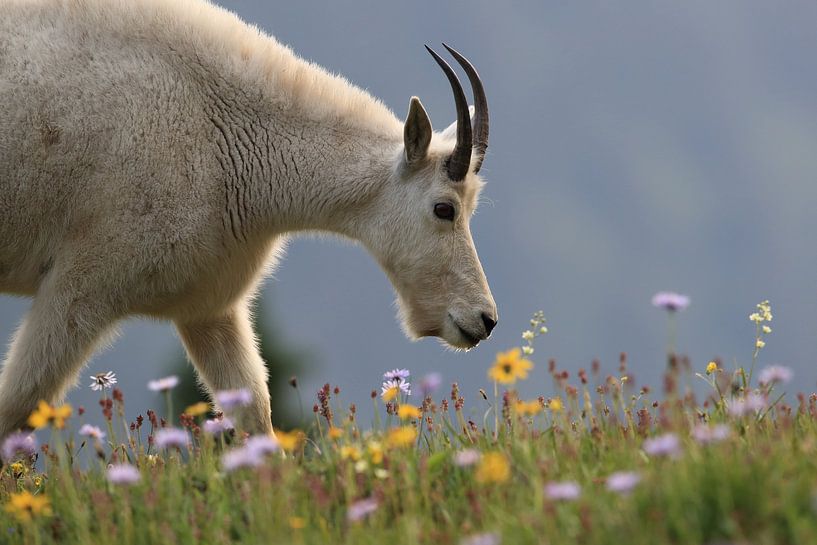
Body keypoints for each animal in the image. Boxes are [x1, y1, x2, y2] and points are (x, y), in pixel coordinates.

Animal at [0, 0, 497, 440]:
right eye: (444, 208)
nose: (485, 320)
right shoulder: (79, 288)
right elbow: (17, 404)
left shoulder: (210, 307)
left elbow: (256, 414)